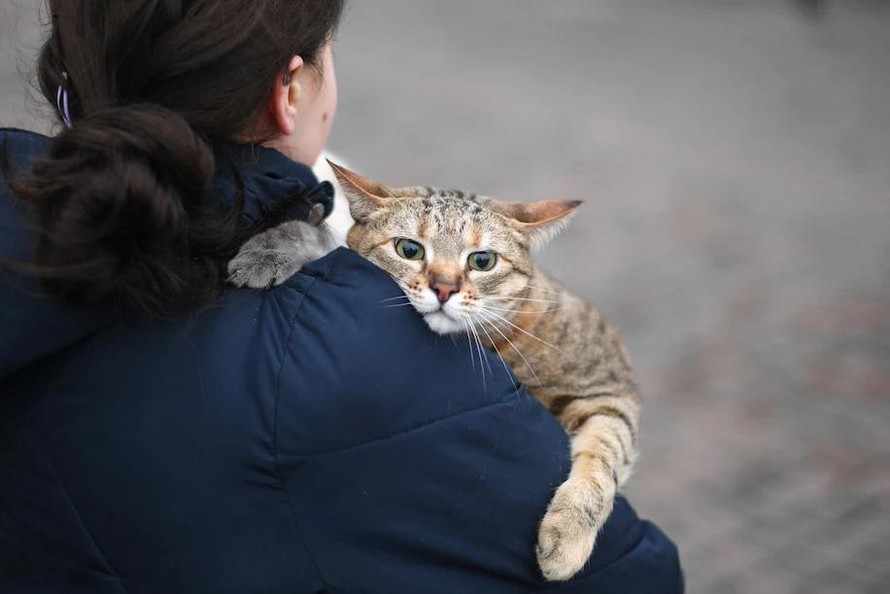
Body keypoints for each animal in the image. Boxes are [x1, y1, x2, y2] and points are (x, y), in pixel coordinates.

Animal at [229, 162, 640, 580]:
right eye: (409, 250)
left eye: (482, 261)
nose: (444, 289)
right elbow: (324, 241)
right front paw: (271, 249)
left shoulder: (609, 387)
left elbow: (604, 455)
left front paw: (568, 534)